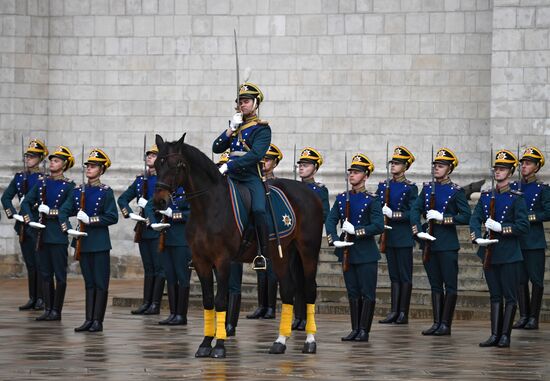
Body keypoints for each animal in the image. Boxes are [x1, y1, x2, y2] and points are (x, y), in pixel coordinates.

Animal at [153, 133, 326, 356]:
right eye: (157, 164)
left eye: (176, 166)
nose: (159, 202)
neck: (207, 207)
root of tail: (308, 191)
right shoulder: (201, 261)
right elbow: (208, 300)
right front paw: (205, 343)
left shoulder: (223, 260)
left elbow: (221, 300)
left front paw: (219, 345)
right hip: (281, 253)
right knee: (288, 290)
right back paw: (279, 342)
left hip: (308, 250)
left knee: (310, 289)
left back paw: (310, 341)